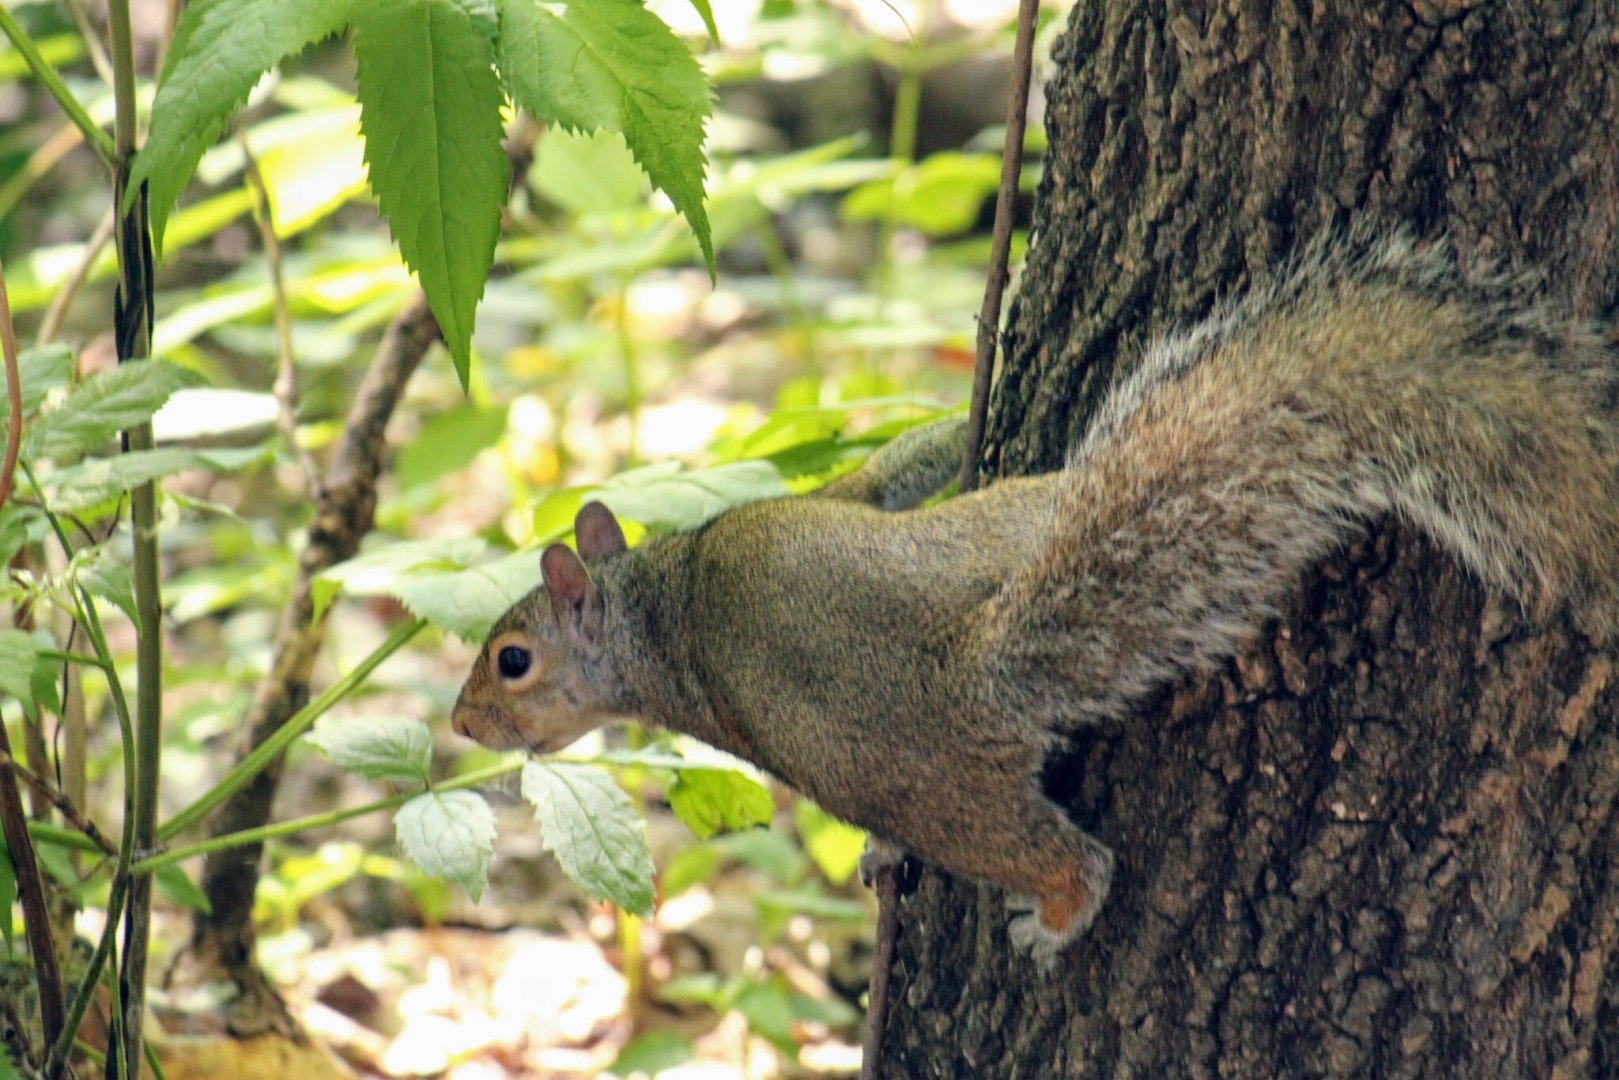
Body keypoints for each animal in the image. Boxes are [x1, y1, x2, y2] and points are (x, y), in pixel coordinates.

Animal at [450, 234, 1619, 961]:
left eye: (511, 660)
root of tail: (978, 671)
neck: (661, 597)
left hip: (947, 734)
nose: (461, 723)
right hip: (987, 598)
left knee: (1068, 853)